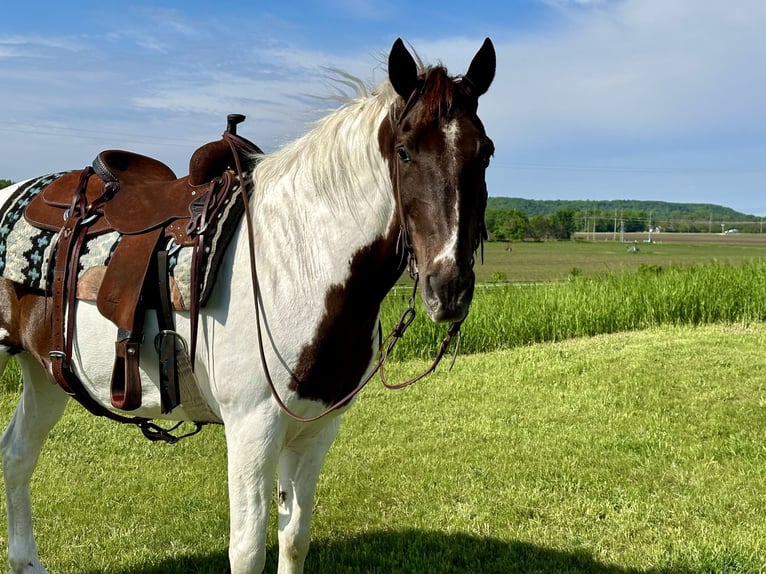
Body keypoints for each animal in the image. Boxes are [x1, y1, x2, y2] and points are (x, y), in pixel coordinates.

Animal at [0, 38, 498, 572]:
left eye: (485, 153)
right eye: (404, 152)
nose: (449, 288)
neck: (299, 261)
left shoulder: (317, 430)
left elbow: (294, 537)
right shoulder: (251, 430)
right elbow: (248, 549)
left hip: (48, 373)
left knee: (17, 454)